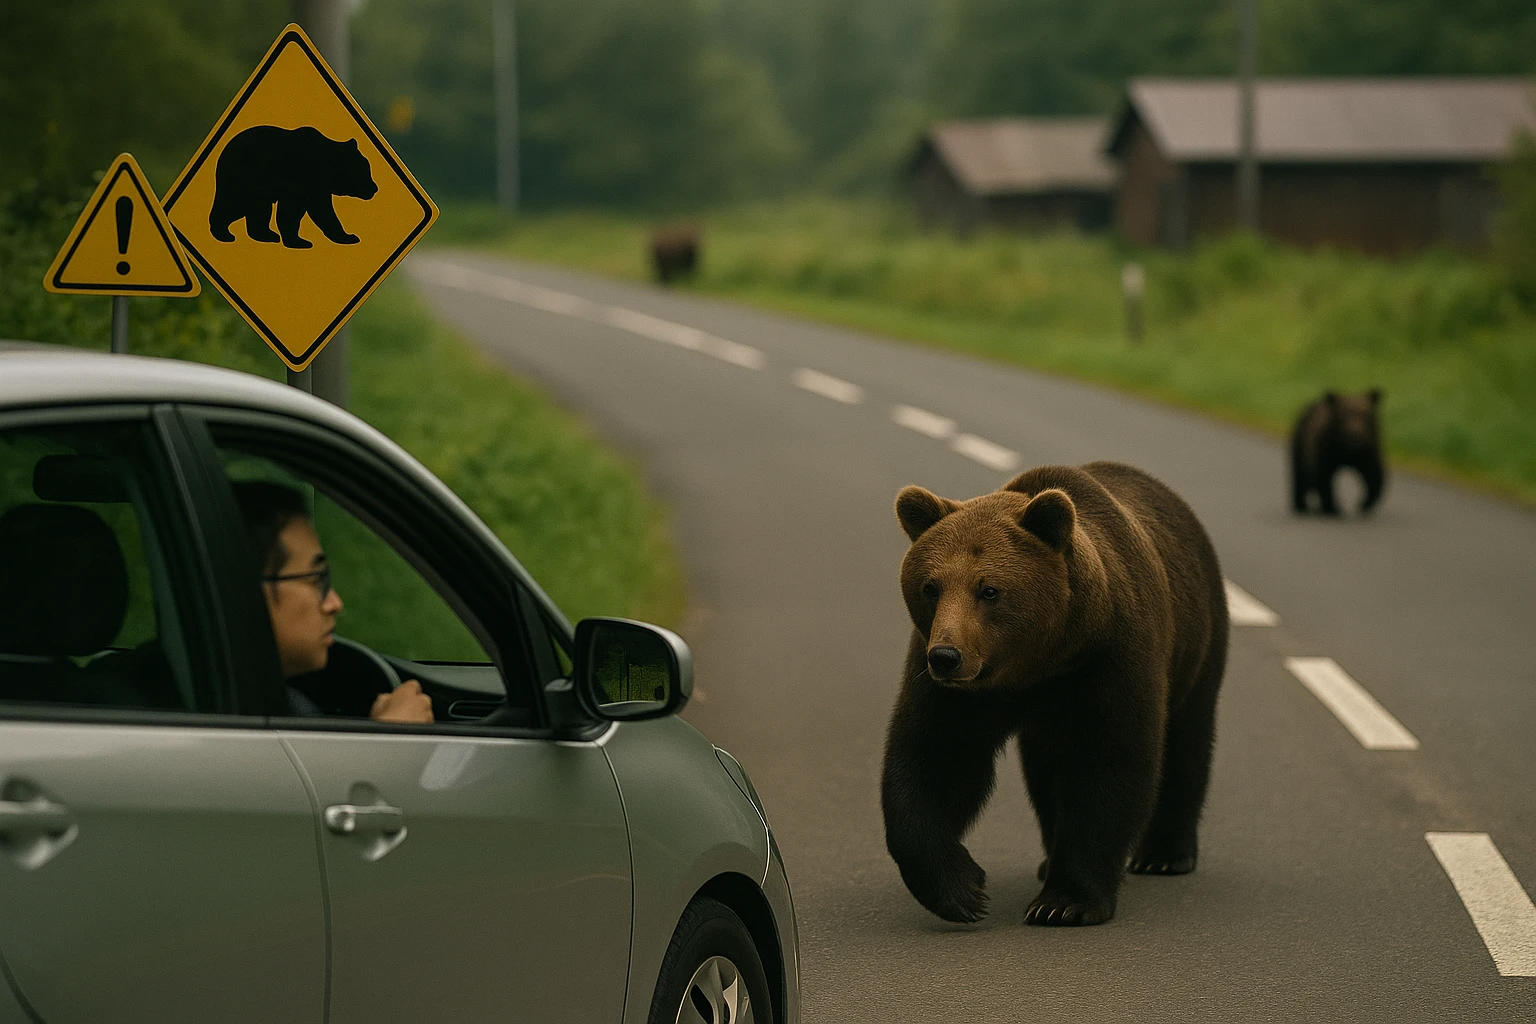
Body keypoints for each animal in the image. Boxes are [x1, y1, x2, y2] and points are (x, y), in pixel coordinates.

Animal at [209, 125, 379, 250]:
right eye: (365, 170)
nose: (374, 188)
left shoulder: (317, 188)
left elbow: (321, 211)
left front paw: (347, 236)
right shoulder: (299, 182)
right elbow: (295, 212)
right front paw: (300, 241)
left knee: (259, 210)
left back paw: (267, 235)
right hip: (244, 179)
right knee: (233, 204)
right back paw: (224, 234)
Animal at [881, 461, 1228, 927]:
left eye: (989, 589)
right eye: (930, 587)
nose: (946, 657)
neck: (1038, 663)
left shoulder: (1109, 661)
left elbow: (1111, 765)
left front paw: (1064, 902)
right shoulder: (959, 691)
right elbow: (935, 760)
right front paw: (962, 890)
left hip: (1197, 640)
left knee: (1187, 738)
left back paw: (1164, 854)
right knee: (1046, 772)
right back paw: (1049, 859)